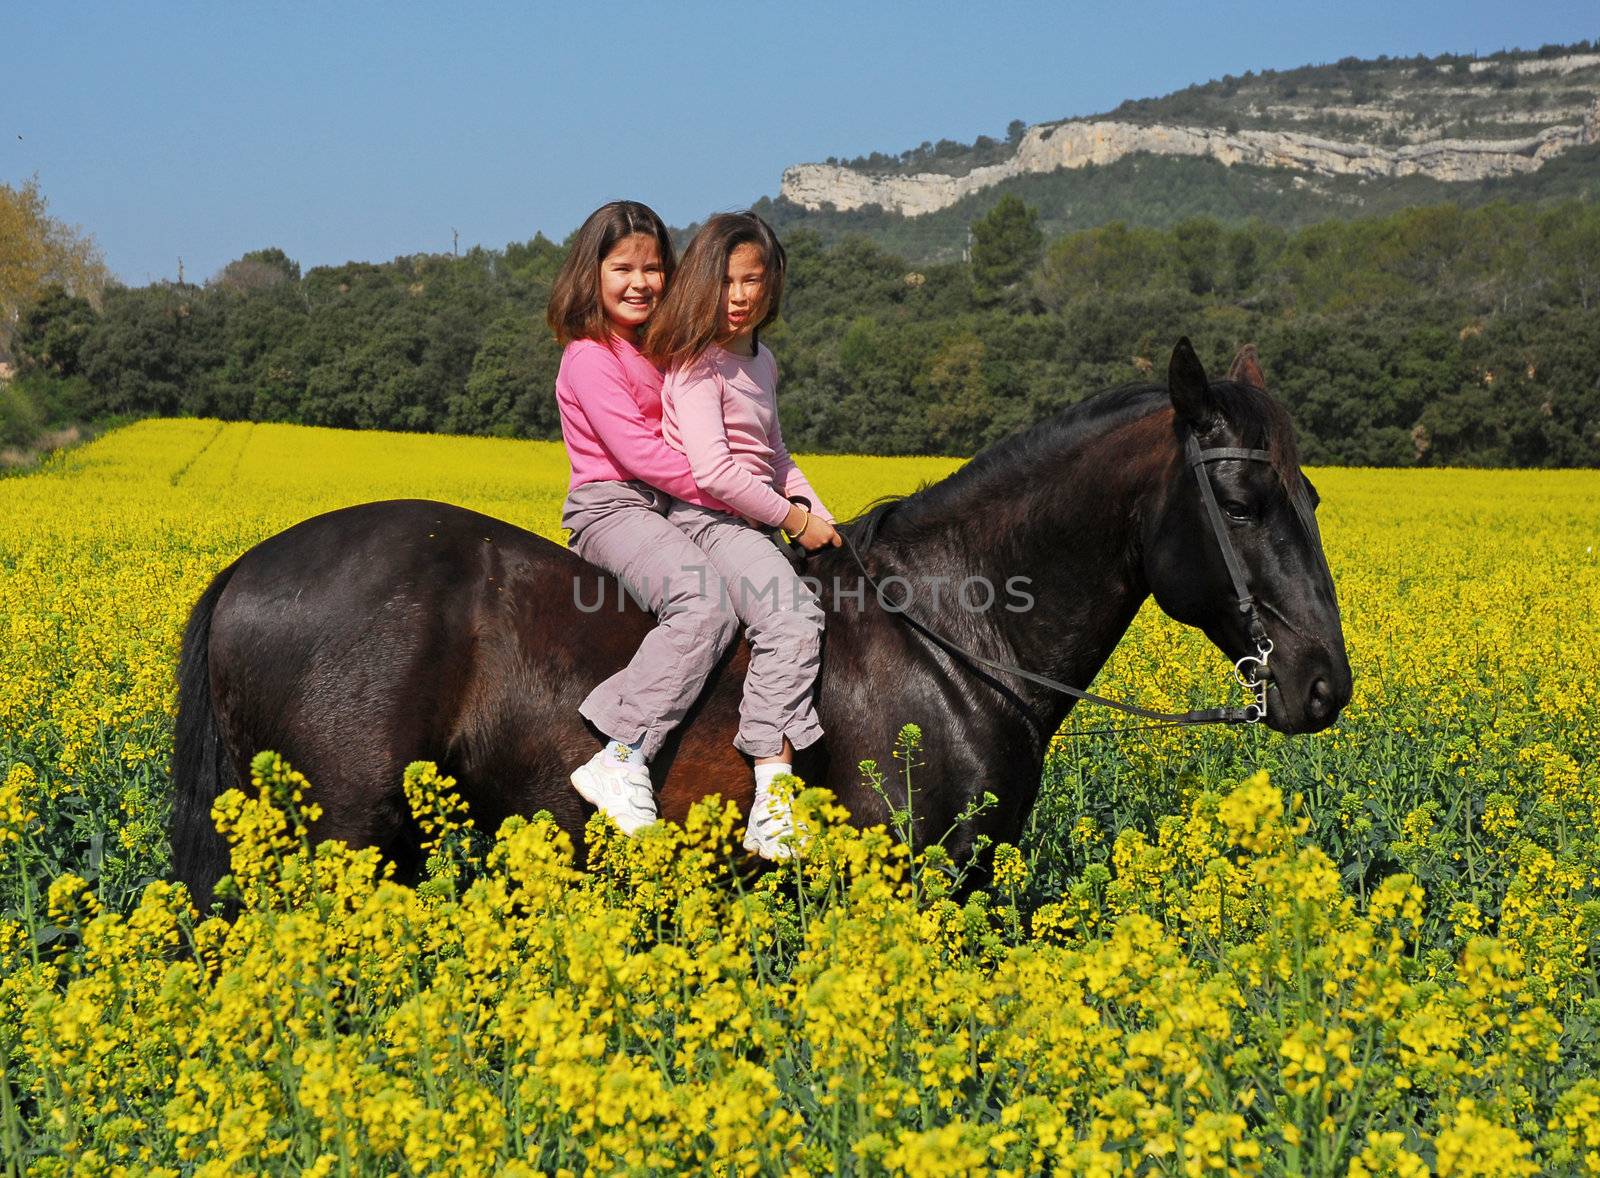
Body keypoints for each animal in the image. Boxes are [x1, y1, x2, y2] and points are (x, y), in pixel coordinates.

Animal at [172, 340, 1350, 909]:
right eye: (1243, 499)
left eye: (1312, 495)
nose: (1322, 684)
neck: (957, 634)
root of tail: (247, 569)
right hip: (344, 835)